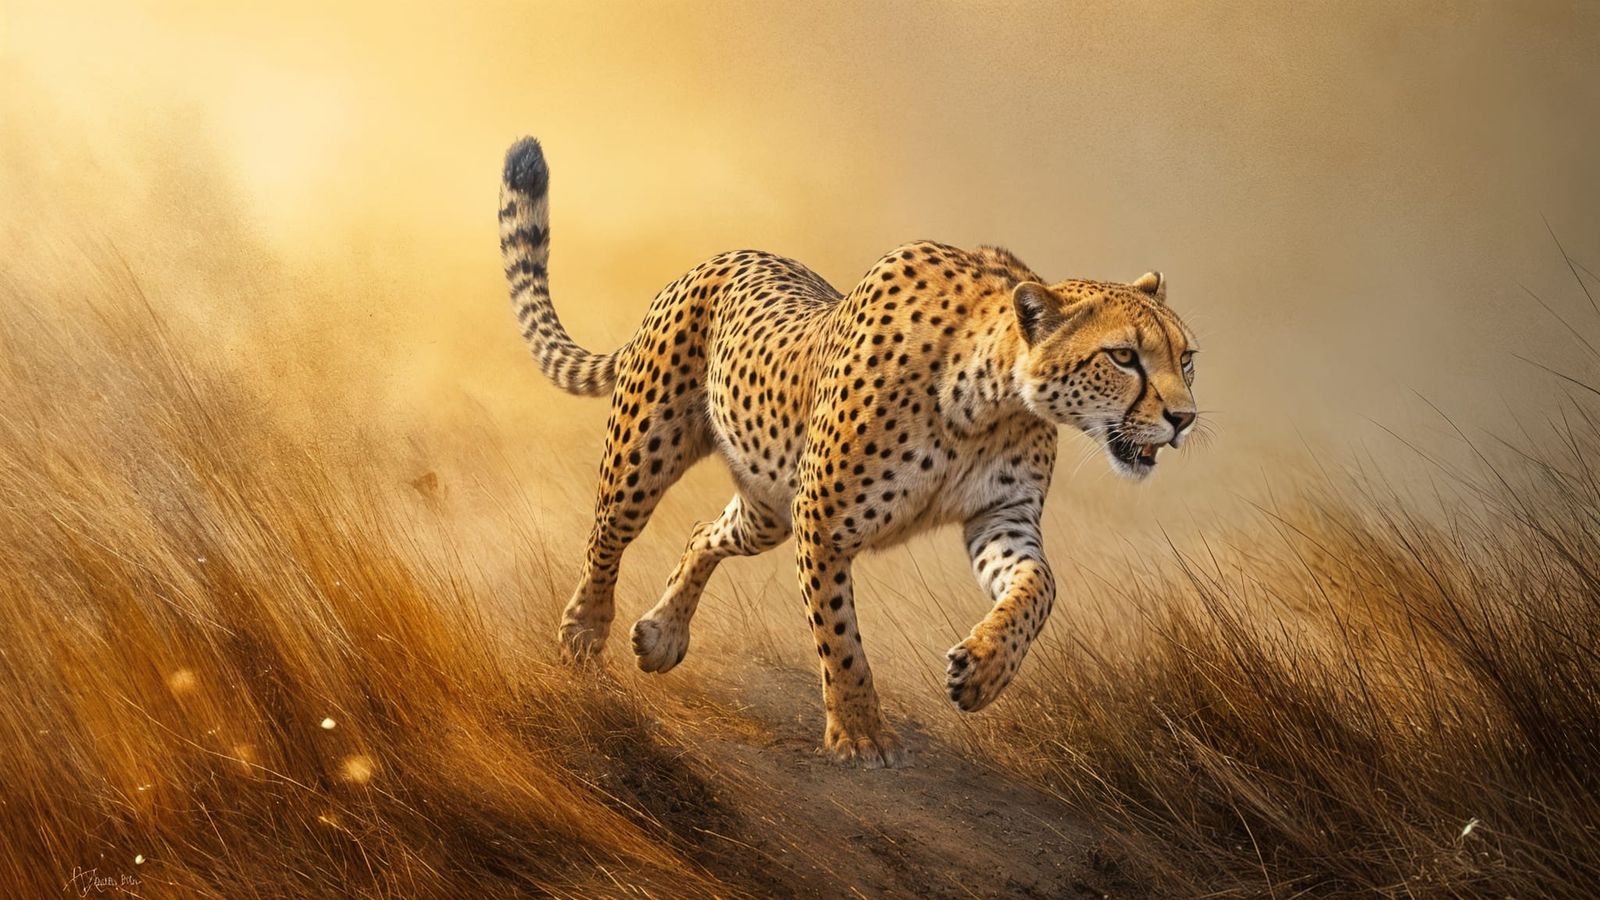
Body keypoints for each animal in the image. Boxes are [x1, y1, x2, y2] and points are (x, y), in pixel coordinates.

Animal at [497, 137, 1199, 767]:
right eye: (1124, 356)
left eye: (1186, 357)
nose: (1184, 418)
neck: (993, 401)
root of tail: (716, 258)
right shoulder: (823, 522)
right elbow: (840, 636)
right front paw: (859, 733)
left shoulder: (999, 518)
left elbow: (1038, 588)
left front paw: (983, 670)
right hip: (646, 455)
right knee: (607, 537)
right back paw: (584, 630)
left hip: (767, 508)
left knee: (703, 531)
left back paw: (663, 634)